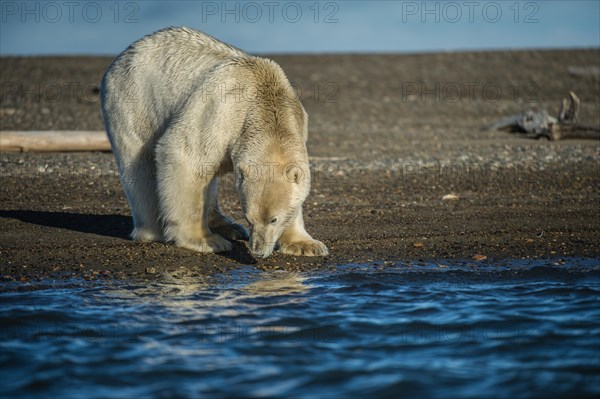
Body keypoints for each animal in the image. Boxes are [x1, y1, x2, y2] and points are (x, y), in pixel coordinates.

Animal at [102, 27, 328, 260]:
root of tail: (123, 55)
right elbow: (186, 156)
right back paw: (155, 230)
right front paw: (205, 240)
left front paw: (305, 244)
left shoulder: (297, 121)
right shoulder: (220, 109)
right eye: (249, 218)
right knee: (140, 166)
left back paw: (227, 225)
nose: (257, 251)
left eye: (273, 219)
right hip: (135, 102)